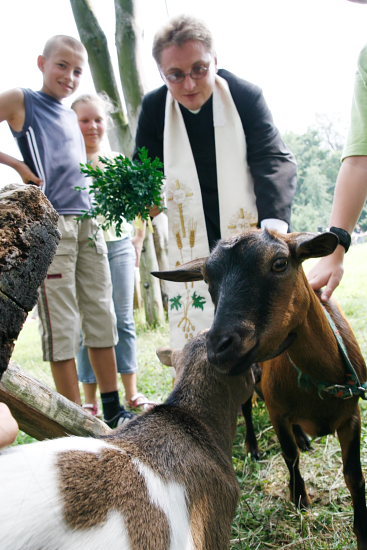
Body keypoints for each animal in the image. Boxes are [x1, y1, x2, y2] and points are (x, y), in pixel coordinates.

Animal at [154, 230, 367, 550]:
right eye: (206, 278)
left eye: (280, 263)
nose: (218, 347)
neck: (319, 379)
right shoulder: (278, 412)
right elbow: (290, 455)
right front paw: (299, 498)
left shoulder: (352, 414)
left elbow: (353, 473)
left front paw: (362, 529)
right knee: (247, 411)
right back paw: (254, 448)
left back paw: (304, 438)